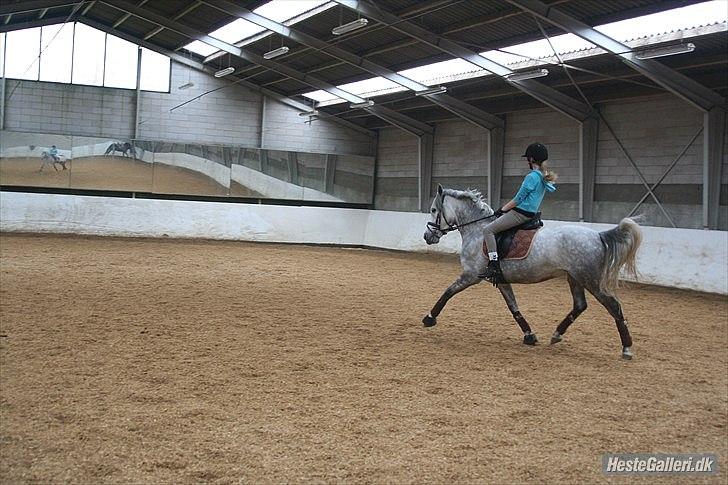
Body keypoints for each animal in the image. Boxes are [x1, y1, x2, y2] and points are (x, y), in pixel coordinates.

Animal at [424, 185, 640, 360]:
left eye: (434, 210)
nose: (427, 236)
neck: (477, 229)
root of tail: (598, 235)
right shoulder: (501, 280)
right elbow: (513, 307)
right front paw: (529, 335)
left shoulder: (470, 275)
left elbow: (448, 292)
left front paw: (429, 318)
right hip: (575, 278)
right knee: (580, 305)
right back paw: (556, 334)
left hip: (590, 280)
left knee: (614, 306)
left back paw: (627, 348)